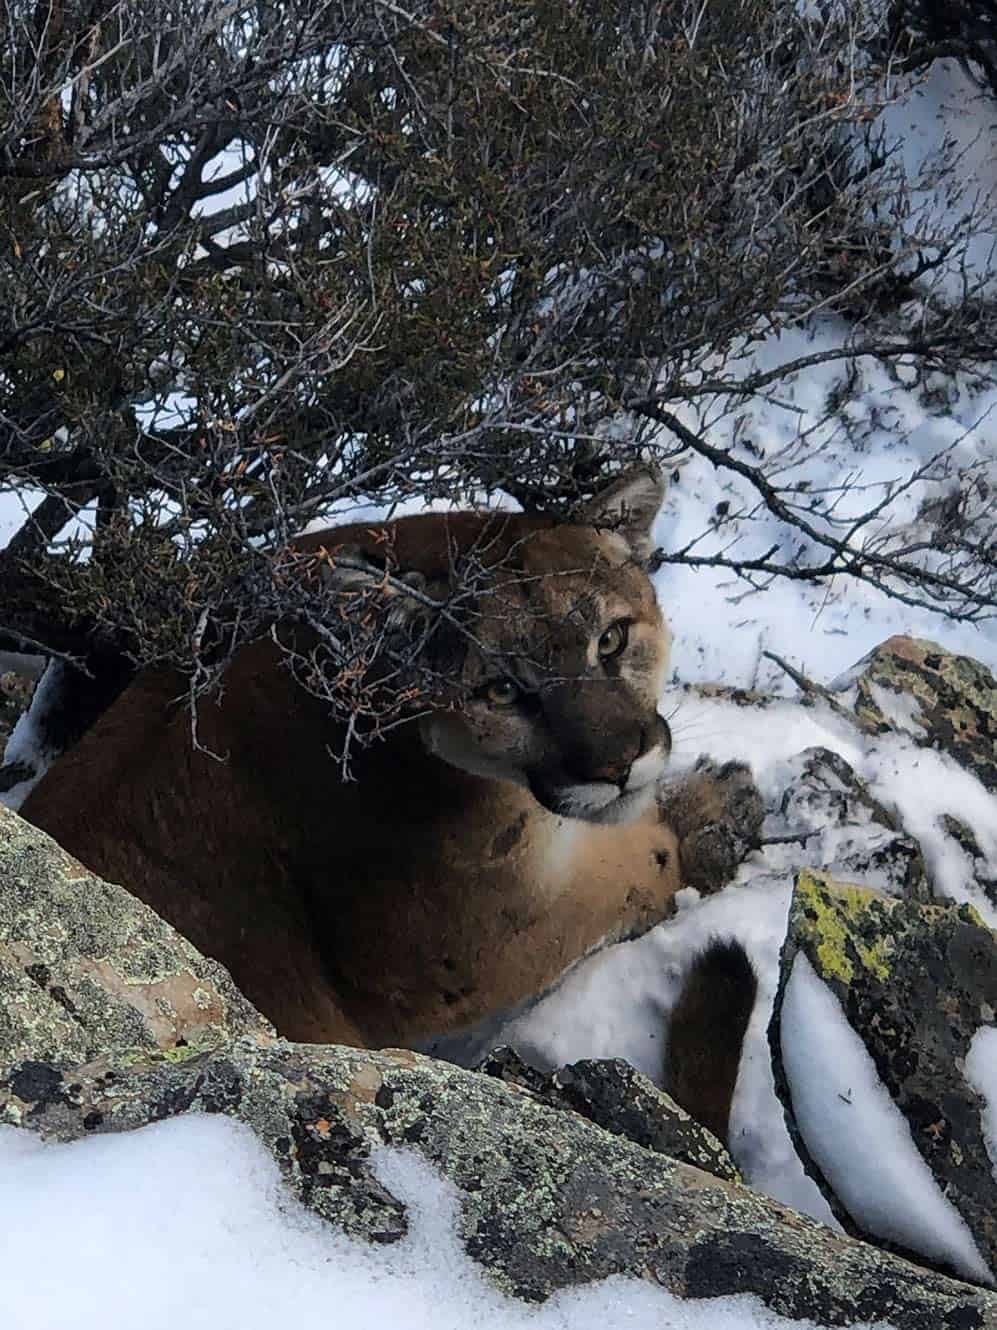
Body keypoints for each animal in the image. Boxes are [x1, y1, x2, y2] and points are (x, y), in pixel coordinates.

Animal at [21, 468, 763, 1062]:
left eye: (610, 640)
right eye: (500, 691)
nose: (619, 766)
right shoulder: (466, 957)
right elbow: (631, 871)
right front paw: (713, 819)